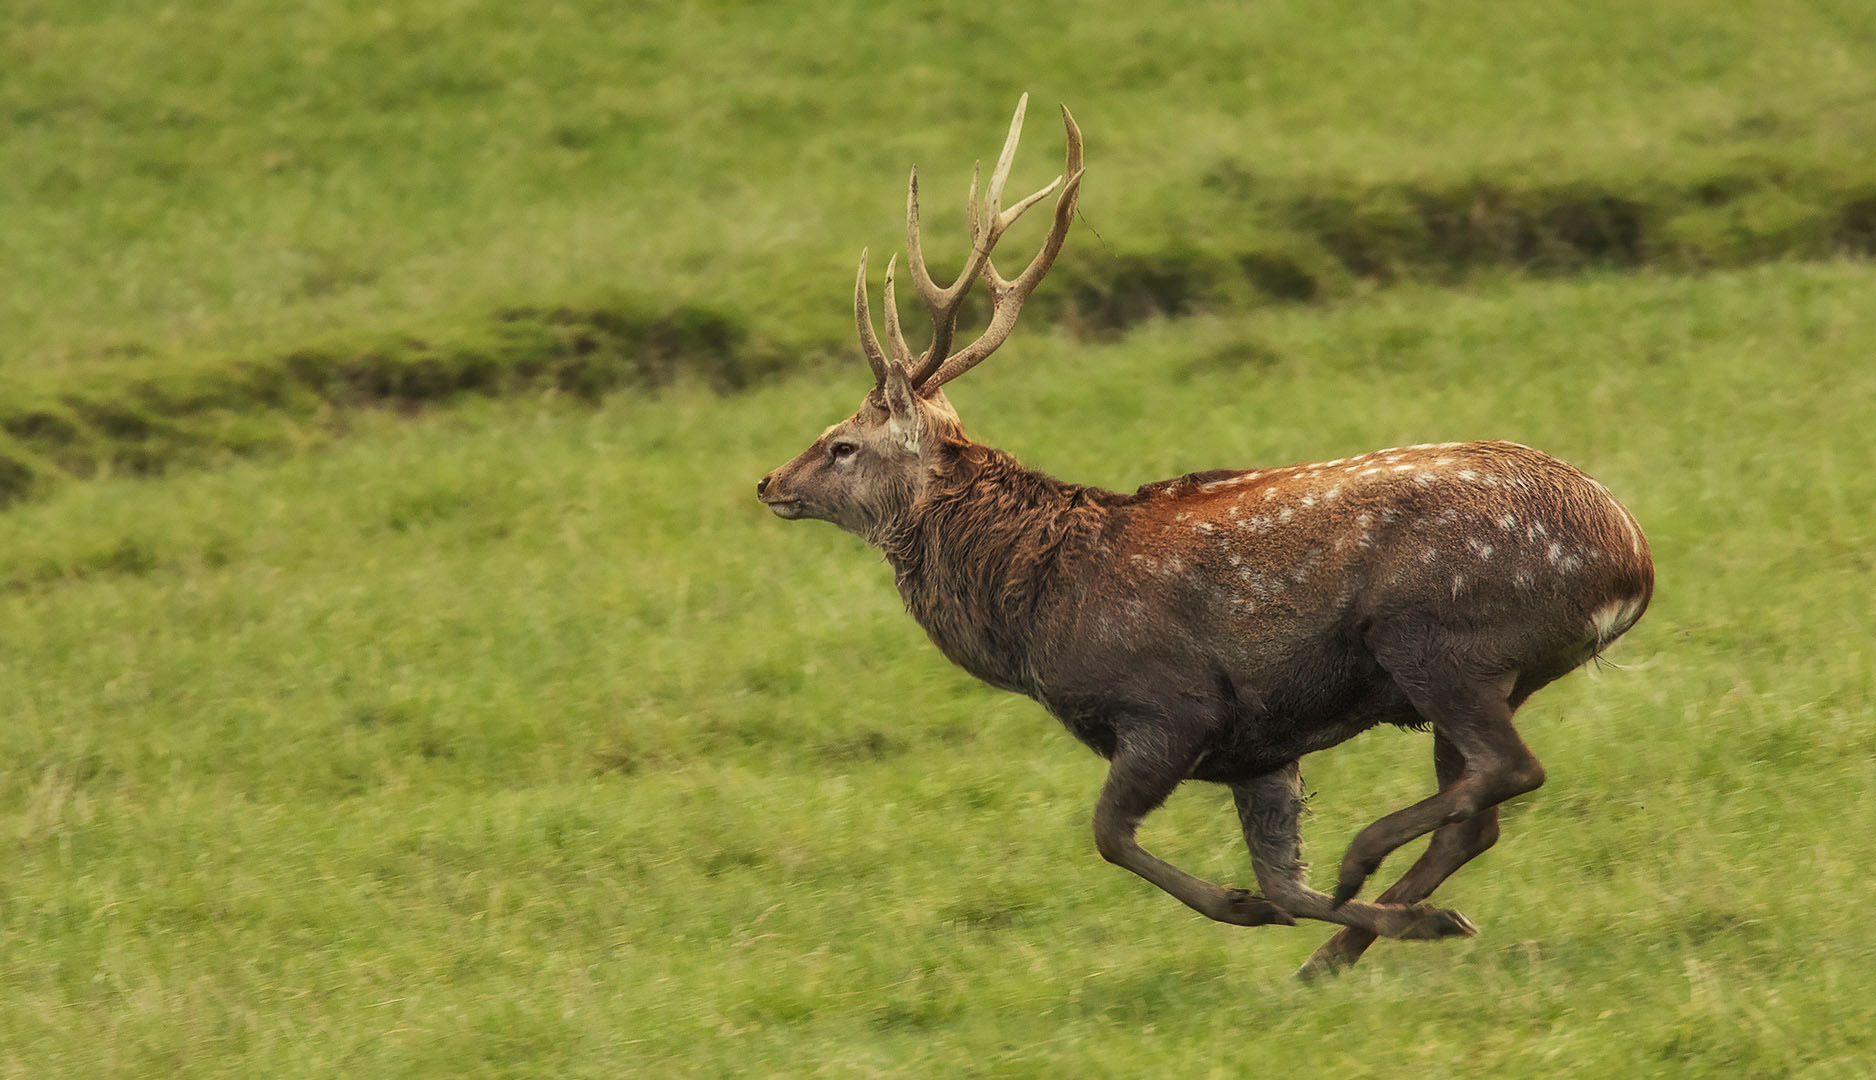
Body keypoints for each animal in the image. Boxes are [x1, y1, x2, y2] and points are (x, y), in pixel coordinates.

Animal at [754, 99, 1650, 975]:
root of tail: (1632, 565)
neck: (1034, 614)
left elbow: (1111, 837)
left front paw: (1251, 908)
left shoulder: (1169, 707)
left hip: (1441, 641)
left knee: (1511, 768)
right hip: (1493, 670)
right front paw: (1362, 923)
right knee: (1481, 811)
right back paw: (1351, 945)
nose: (768, 482)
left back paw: (1364, 863)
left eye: (843, 445)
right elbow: (1282, 876)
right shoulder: (1261, 748)